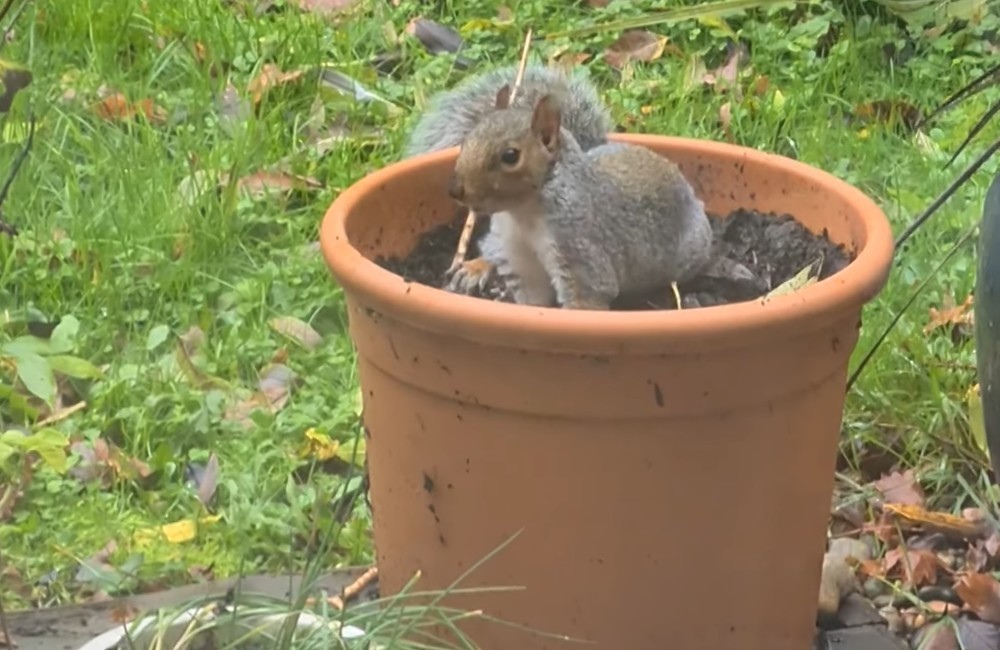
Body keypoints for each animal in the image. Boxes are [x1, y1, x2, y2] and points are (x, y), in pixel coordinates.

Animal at [444, 88, 712, 308]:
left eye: (510, 156)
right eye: (466, 141)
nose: (455, 190)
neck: (522, 213)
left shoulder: (578, 249)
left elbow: (585, 299)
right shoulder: (518, 256)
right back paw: (475, 267)